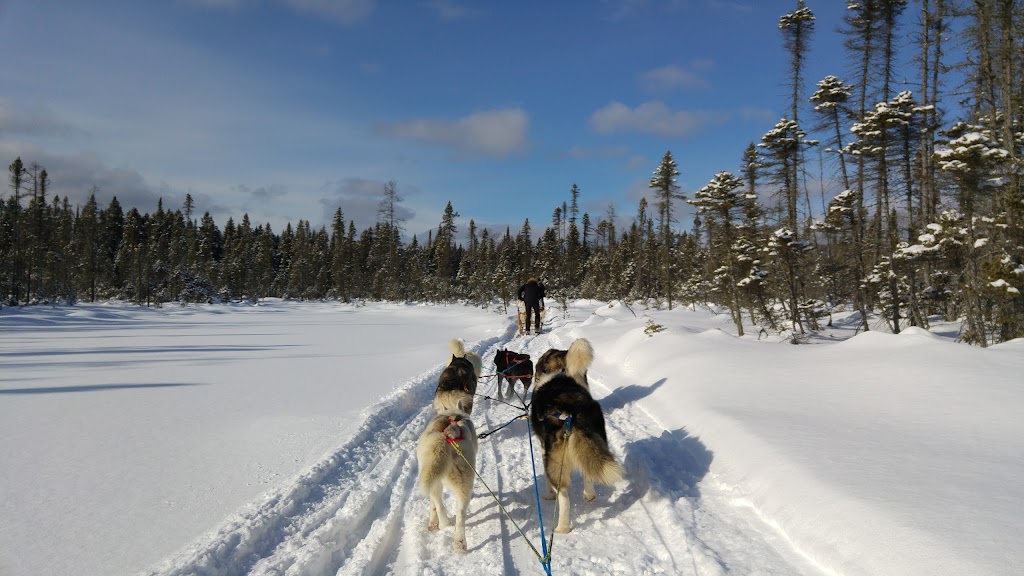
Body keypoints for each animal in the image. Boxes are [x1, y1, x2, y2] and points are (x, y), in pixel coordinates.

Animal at [415, 401, 479, 549]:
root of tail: (447, 436)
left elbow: (432, 504)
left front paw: (433, 521)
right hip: (464, 480)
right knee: (460, 513)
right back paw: (459, 540)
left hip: (432, 477)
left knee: (439, 504)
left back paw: (445, 526)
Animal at [528, 338, 622, 532]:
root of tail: (572, 411)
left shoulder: (544, 450)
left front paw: (548, 495)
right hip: (597, 441)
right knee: (588, 470)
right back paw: (590, 494)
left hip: (556, 464)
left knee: (564, 497)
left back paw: (562, 527)